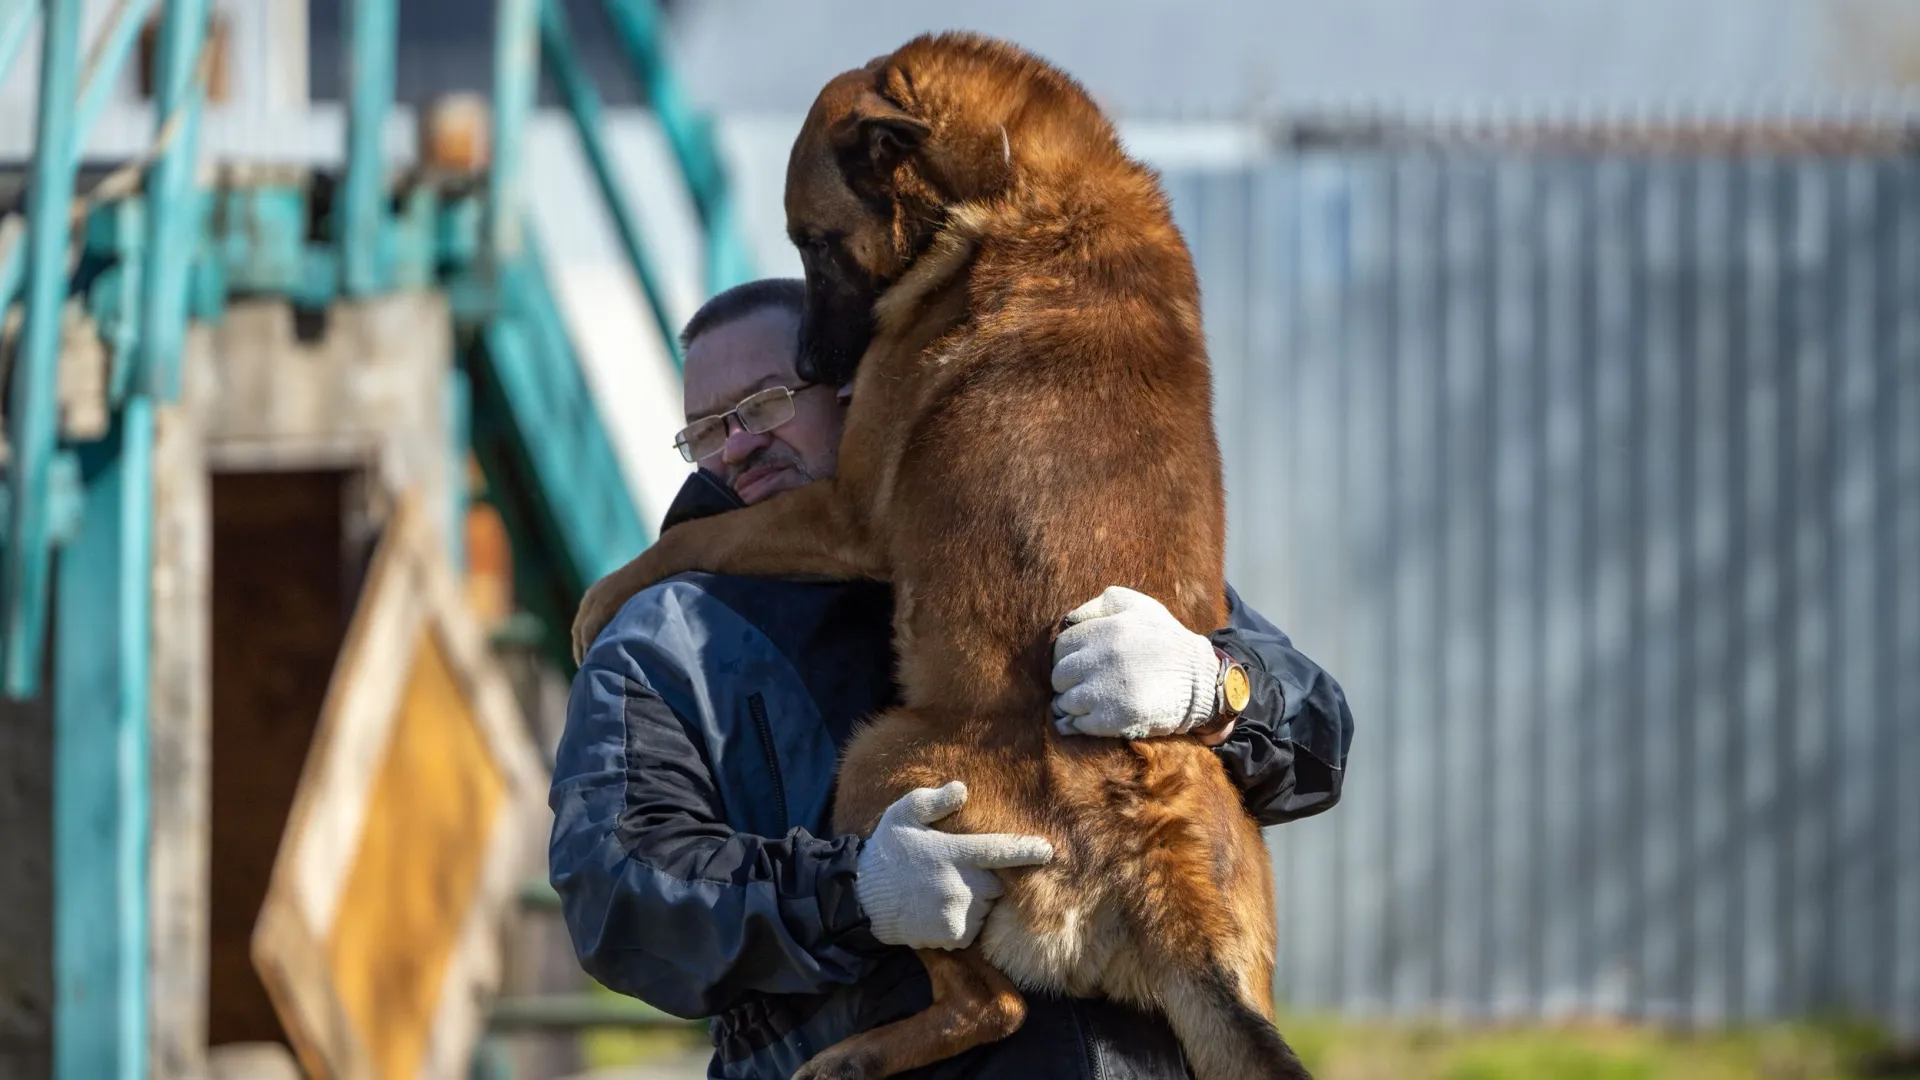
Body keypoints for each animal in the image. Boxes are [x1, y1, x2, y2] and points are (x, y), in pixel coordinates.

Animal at [572, 29, 1305, 1076]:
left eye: (814, 241)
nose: (811, 371)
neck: (1027, 181)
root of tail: (1149, 842)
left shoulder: (844, 513)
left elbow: (698, 534)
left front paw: (603, 596)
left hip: (881, 756)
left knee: (986, 1002)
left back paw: (855, 1053)